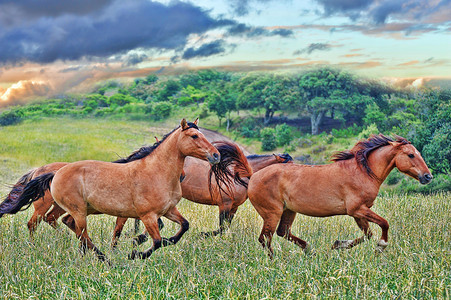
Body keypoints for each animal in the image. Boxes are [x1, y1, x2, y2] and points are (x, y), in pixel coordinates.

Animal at [0, 118, 224, 262]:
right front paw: (135, 254)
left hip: (71, 209)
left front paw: (147, 245)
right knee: (62, 228)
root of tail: (54, 173)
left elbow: (183, 227)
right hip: (73, 209)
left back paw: (97, 257)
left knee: (67, 226)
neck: (156, 172)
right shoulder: (147, 215)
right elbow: (156, 240)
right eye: (194, 136)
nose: (216, 155)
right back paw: (97, 258)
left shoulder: (168, 210)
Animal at [110, 152, 294, 244]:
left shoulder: (233, 207)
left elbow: (225, 226)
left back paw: (137, 236)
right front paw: (203, 235)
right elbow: (221, 227)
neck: (236, 174)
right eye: (287, 166)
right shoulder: (224, 204)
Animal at [247, 135, 434, 256]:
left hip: (288, 211)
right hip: (272, 213)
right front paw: (381, 246)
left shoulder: (359, 213)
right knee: (265, 238)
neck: (362, 172)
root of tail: (253, 177)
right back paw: (275, 261)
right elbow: (384, 224)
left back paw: (309, 250)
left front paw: (338, 245)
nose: (427, 176)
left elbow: (367, 235)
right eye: (411, 154)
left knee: (282, 232)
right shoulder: (357, 209)